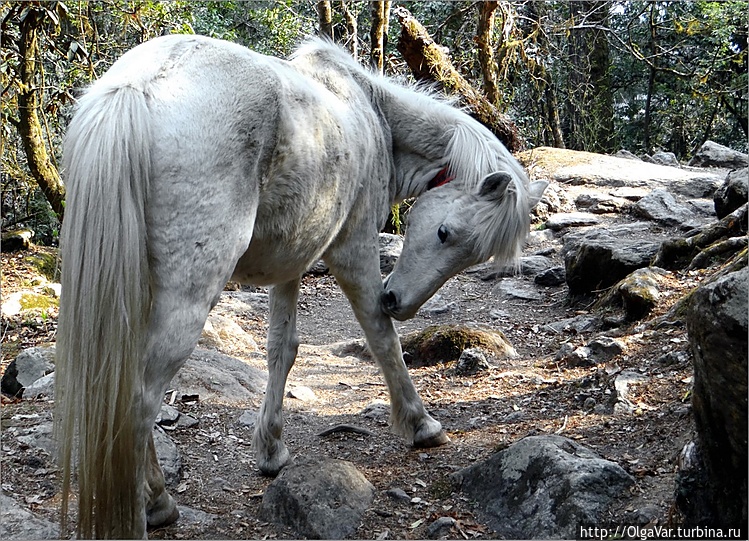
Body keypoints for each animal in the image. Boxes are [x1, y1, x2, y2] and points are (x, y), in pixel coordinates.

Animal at [52, 35, 544, 536]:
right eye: (445, 233)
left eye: (473, 256)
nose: (400, 300)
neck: (373, 114)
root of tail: (141, 82)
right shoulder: (352, 250)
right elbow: (381, 336)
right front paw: (420, 424)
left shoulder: (289, 262)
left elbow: (281, 350)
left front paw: (271, 450)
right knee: (137, 405)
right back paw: (153, 506)